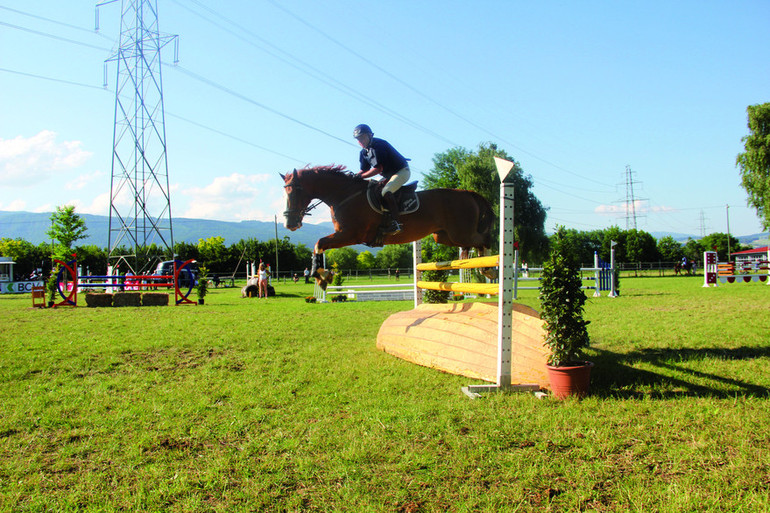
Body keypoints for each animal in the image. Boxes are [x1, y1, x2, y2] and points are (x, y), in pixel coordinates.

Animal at [280, 166, 492, 290]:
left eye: (295, 192)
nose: (290, 224)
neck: (344, 194)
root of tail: (467, 192)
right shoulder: (345, 235)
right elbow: (318, 246)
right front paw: (322, 277)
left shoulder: (350, 234)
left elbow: (319, 242)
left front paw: (322, 276)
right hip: (443, 236)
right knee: (473, 244)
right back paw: (481, 266)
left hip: (460, 233)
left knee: (484, 240)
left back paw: (489, 268)